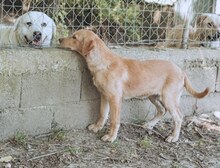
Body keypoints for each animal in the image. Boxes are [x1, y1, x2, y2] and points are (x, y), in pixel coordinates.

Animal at [59, 29, 209, 142]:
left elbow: (114, 120)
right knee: (161, 110)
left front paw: (111, 136)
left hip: (169, 99)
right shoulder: (104, 96)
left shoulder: (115, 99)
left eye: (74, 37)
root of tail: (182, 71)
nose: (59, 39)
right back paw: (149, 124)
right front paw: (97, 127)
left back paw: (173, 137)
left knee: (178, 117)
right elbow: (102, 114)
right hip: (153, 96)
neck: (104, 63)